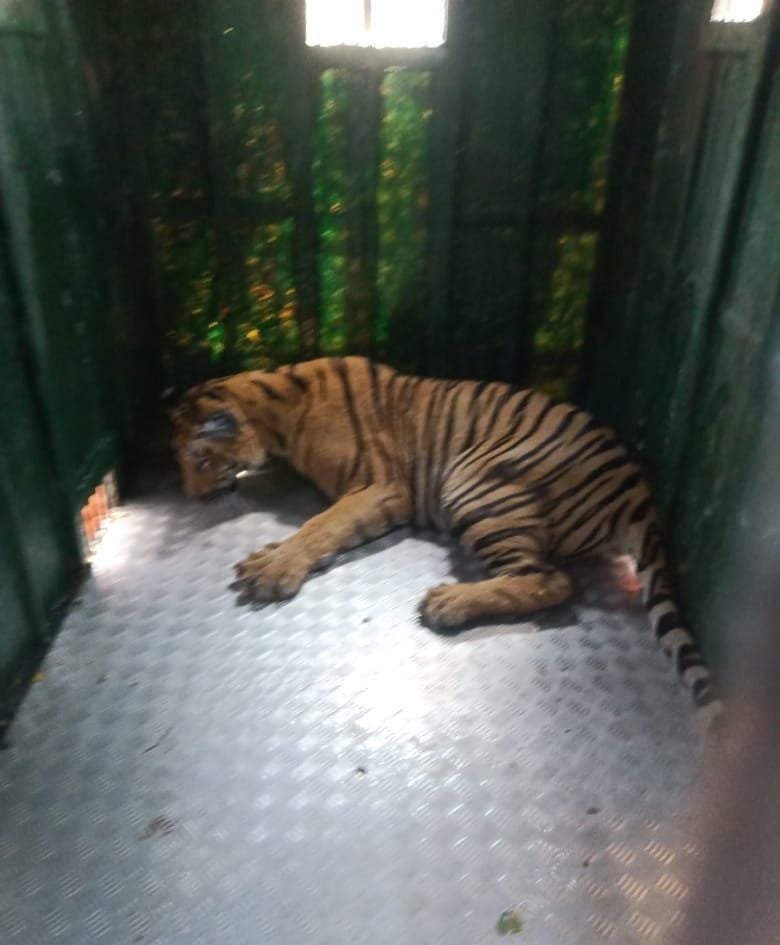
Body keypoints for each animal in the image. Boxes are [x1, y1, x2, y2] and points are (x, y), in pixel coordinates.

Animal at [170, 355, 721, 724]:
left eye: (199, 460)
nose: (194, 497)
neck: (274, 408)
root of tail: (638, 485)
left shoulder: (381, 487)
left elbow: (321, 525)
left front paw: (272, 568)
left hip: (473, 480)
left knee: (551, 581)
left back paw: (449, 603)